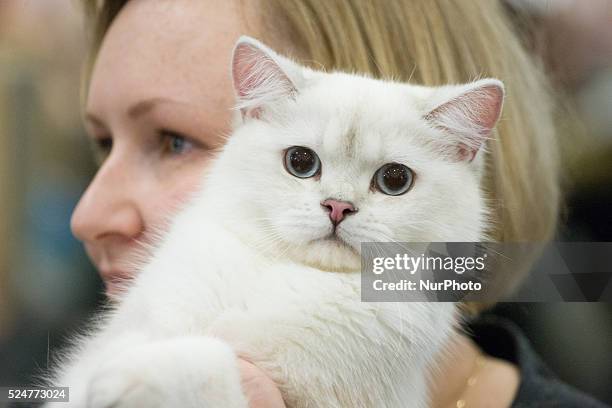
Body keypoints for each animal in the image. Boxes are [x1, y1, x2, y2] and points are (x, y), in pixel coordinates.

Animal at [43, 35, 502, 408]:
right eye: (300, 162)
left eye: (394, 180)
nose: (337, 207)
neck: (296, 276)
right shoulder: (136, 326)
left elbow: (217, 363)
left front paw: (133, 378)